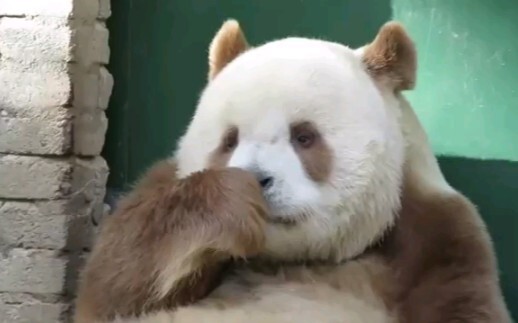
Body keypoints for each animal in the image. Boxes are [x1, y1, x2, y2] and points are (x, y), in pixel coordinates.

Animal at [73, 19, 512, 322]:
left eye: (304, 136)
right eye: (229, 139)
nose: (257, 179)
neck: (286, 256)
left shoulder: (437, 236)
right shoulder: (166, 188)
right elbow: (112, 282)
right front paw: (232, 204)